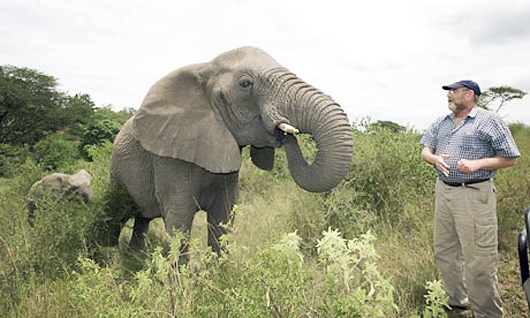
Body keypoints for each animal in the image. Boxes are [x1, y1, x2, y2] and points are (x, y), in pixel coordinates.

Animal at [110, 46, 350, 256]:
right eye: (245, 84)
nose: (284, 132)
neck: (205, 68)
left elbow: (223, 217)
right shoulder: (168, 158)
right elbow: (179, 218)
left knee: (142, 220)